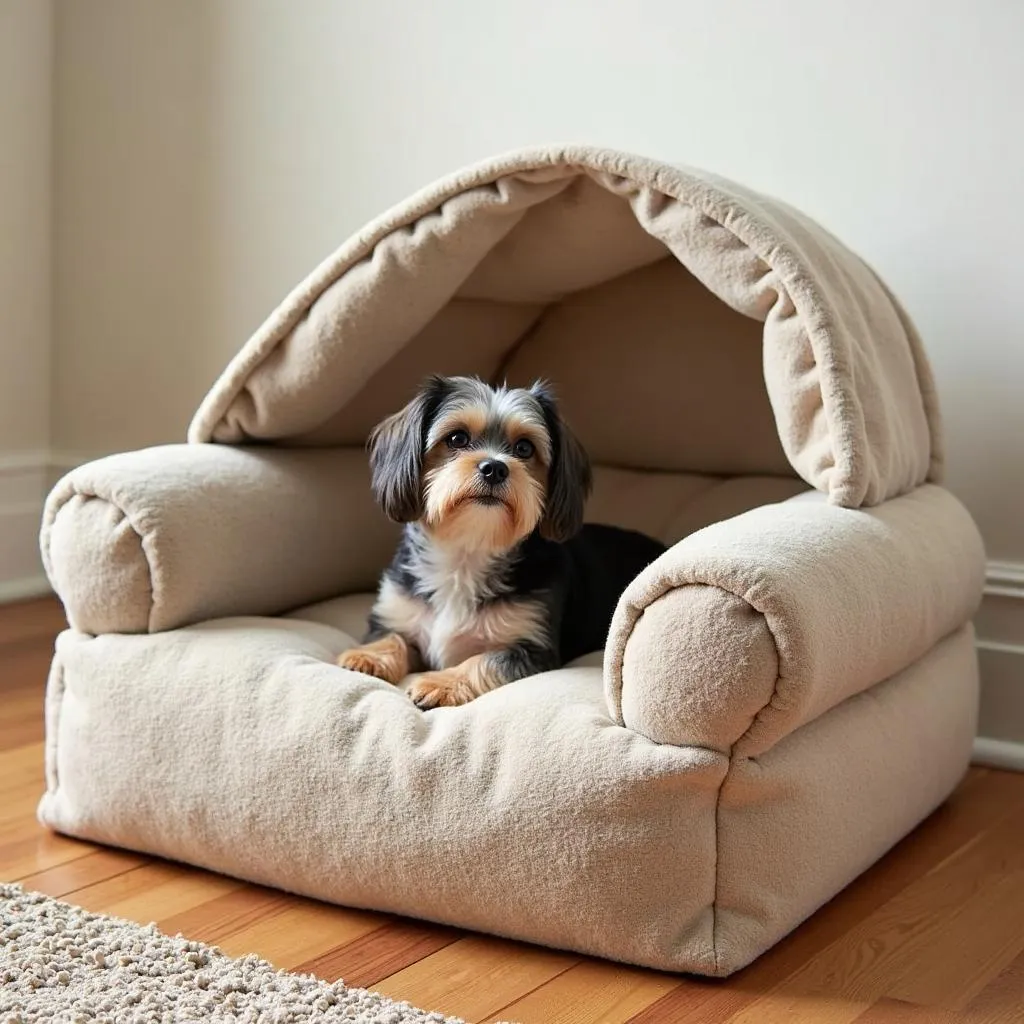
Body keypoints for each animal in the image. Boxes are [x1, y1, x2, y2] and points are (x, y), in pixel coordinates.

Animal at [339, 378, 667, 712]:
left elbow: (483, 660)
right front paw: (367, 657)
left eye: (524, 447)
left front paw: (442, 682)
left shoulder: (533, 648)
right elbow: (392, 637)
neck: (468, 551)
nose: (495, 468)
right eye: (456, 438)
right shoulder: (399, 614)